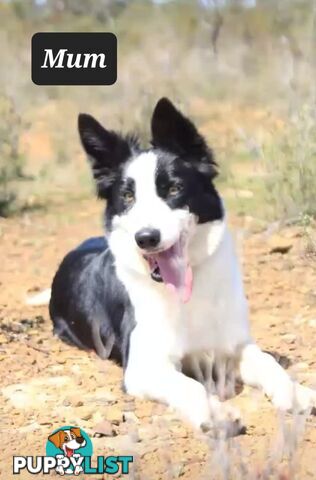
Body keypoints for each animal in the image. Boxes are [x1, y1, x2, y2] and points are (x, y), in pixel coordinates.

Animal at [48, 97, 314, 432]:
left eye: (174, 189)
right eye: (128, 196)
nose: (146, 238)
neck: (189, 291)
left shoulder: (235, 345)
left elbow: (269, 362)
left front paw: (295, 392)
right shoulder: (144, 367)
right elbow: (190, 385)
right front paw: (216, 413)